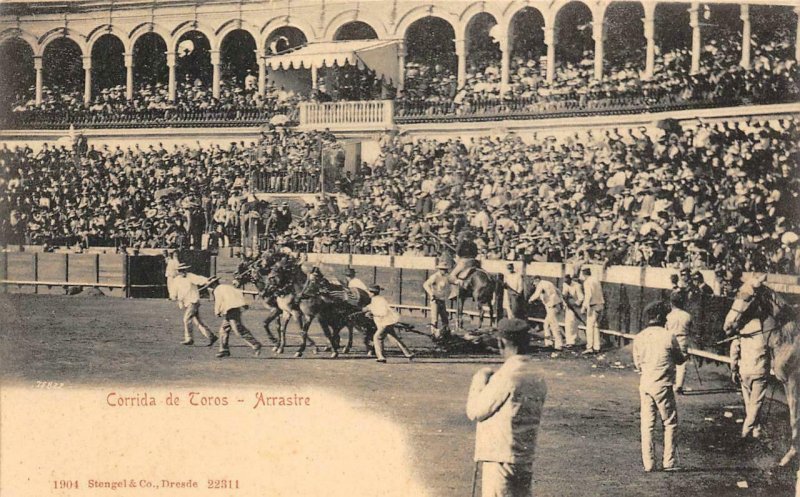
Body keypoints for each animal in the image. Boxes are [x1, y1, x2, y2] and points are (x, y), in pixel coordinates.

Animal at [724, 276, 800, 464]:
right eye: (736, 294)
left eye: (748, 298)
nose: (727, 326)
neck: (791, 337)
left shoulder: (793, 382)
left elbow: (794, 417)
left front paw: (791, 454)